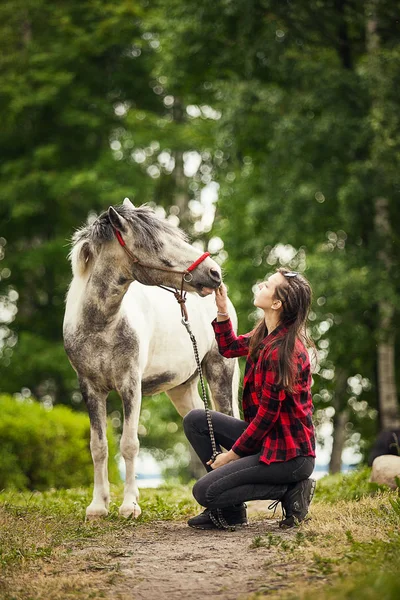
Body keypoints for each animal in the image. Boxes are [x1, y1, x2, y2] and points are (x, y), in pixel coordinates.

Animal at [62, 199, 238, 516]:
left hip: (221, 375)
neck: (101, 325)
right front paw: (98, 506)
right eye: (157, 244)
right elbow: (98, 446)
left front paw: (129, 505)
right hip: (182, 389)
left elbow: (129, 443)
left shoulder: (130, 386)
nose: (214, 272)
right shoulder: (90, 389)